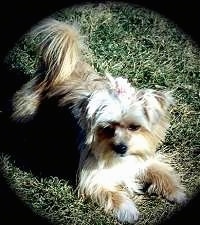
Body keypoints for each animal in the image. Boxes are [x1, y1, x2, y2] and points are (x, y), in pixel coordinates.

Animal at [11, 18, 187, 223]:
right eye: (108, 127)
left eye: (135, 127)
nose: (121, 148)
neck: (120, 160)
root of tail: (56, 72)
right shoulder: (93, 178)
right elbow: (111, 194)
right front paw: (128, 210)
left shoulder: (144, 159)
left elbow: (161, 171)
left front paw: (177, 192)